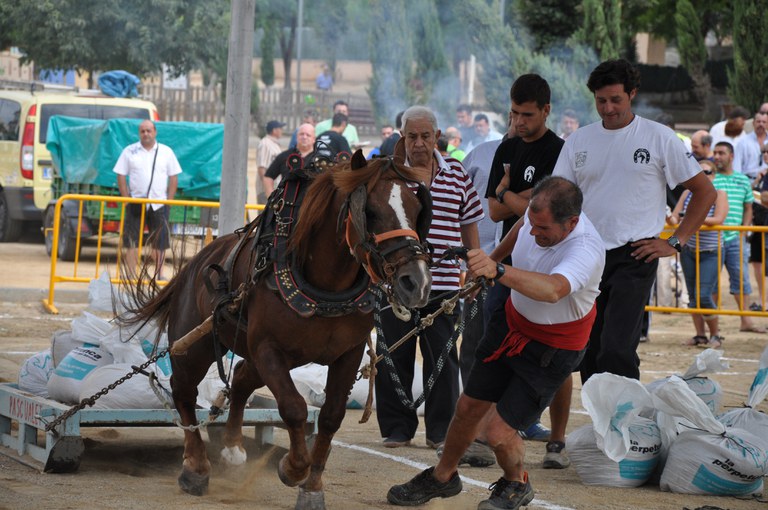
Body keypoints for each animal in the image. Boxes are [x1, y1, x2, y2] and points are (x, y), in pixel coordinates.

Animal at [120, 151, 433, 509]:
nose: (417, 282)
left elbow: (331, 416)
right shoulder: (268, 348)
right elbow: (294, 408)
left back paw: (233, 446)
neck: (326, 286)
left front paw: (312, 487)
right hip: (196, 347)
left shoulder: (347, 353)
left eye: (417, 209)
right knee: (183, 391)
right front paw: (293, 468)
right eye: (370, 211)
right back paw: (195, 467)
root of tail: (194, 265)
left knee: (241, 377)